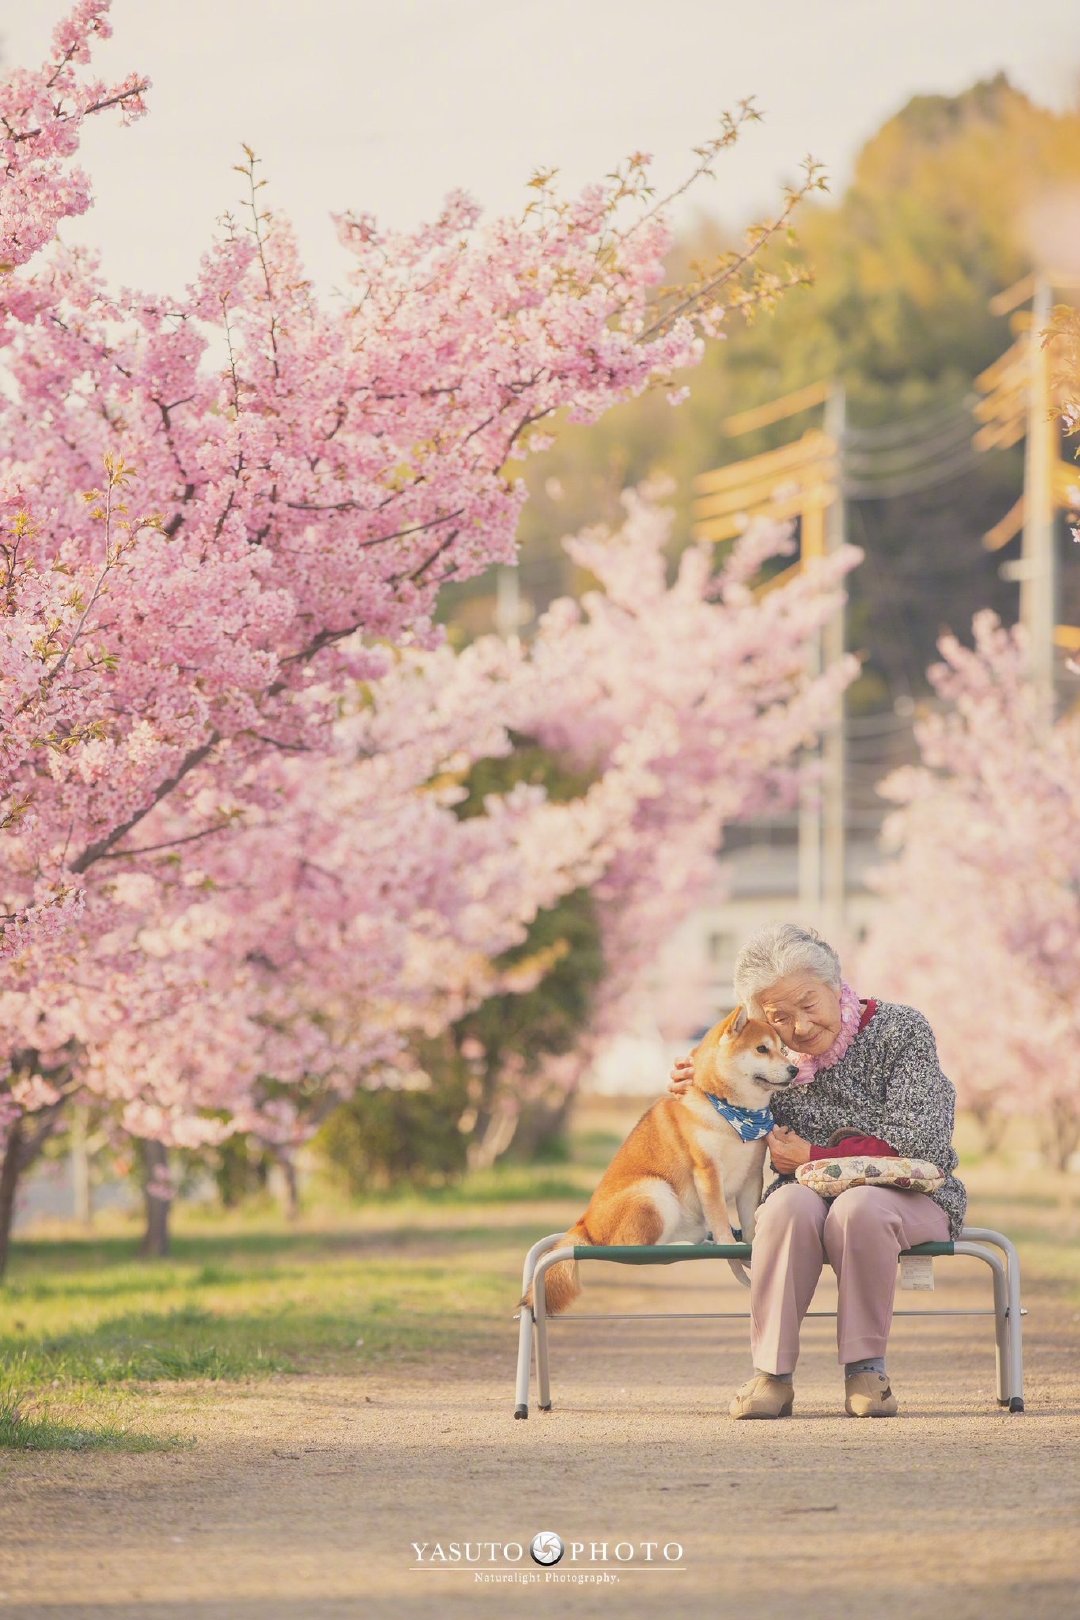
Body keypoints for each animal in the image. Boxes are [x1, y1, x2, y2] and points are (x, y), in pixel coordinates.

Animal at [524, 1004, 803, 1308]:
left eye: (781, 1049)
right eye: (762, 1049)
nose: (794, 1069)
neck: (731, 1112)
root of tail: (584, 1224)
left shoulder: (750, 1175)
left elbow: (750, 1222)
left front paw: (752, 1249)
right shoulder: (707, 1171)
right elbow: (719, 1217)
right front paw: (728, 1243)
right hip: (654, 1191)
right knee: (636, 1251)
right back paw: (680, 1247)